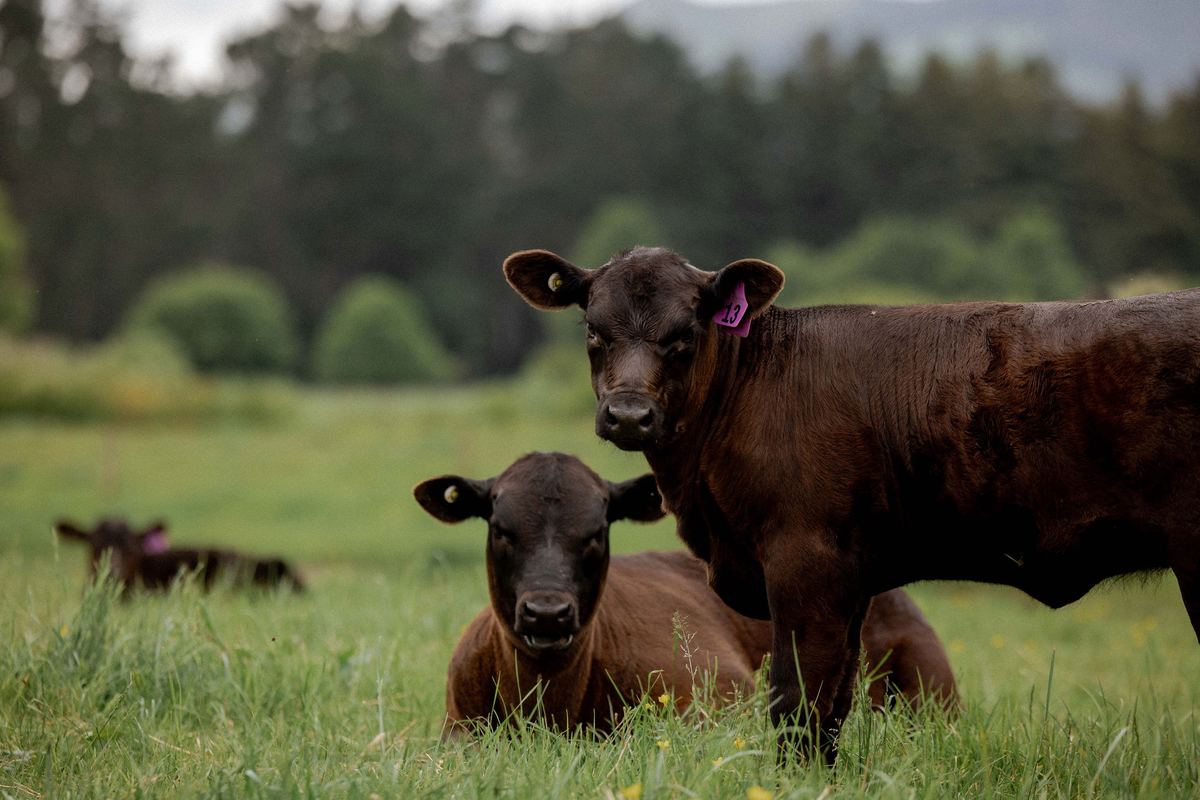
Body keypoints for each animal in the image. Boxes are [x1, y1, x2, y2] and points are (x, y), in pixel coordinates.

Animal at [503, 245, 1200, 761]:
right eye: (594, 330)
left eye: (684, 334)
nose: (628, 415)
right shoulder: (854, 576)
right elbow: (836, 700)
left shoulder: (806, 560)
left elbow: (796, 699)